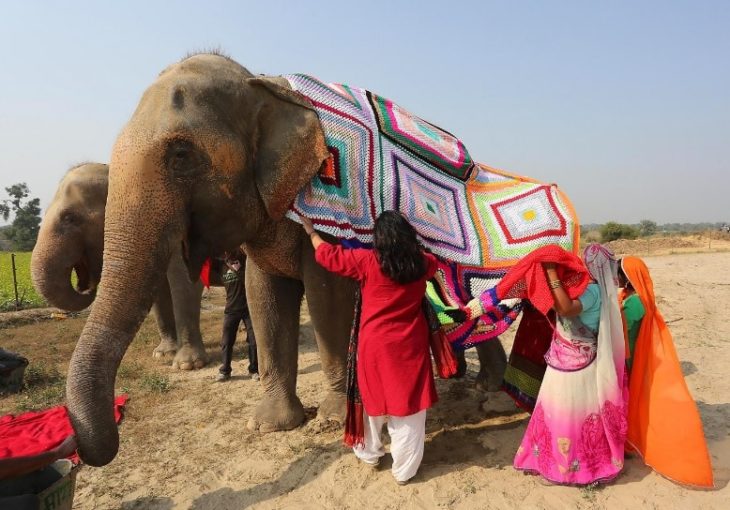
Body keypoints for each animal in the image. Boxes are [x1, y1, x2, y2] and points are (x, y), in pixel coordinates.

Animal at [31, 165, 208, 368]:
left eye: (70, 218)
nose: (85, 286)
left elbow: (185, 280)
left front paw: (188, 365)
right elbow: (159, 290)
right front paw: (163, 354)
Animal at [67, 54, 506, 466]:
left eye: (181, 154)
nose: (85, 449)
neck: (264, 86)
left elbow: (328, 295)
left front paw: (333, 418)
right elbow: (263, 296)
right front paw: (270, 425)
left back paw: (487, 389)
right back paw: (471, 380)